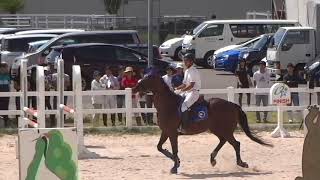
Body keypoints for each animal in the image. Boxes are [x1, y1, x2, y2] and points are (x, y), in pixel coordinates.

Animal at [131, 72, 272, 174]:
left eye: (145, 79)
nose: (134, 89)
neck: (167, 104)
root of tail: (233, 105)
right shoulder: (165, 131)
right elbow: (160, 147)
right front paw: (177, 162)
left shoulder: (172, 133)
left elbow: (175, 149)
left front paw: (175, 167)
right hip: (217, 129)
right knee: (223, 141)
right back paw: (213, 159)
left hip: (225, 130)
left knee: (236, 144)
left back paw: (241, 163)